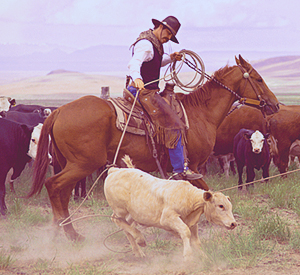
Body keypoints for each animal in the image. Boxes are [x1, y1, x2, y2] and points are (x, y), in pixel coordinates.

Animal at [28, 55, 278, 242]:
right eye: (258, 78)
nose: (274, 105)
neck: (200, 113)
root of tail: (60, 111)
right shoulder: (192, 167)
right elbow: (206, 191)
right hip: (83, 163)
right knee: (54, 186)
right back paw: (67, 233)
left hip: (69, 163)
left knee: (62, 193)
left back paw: (62, 231)